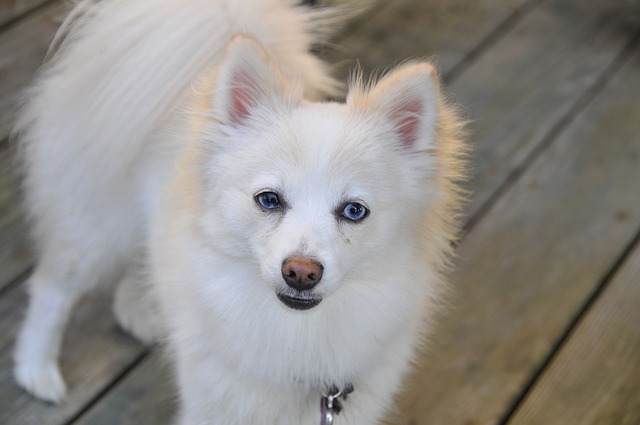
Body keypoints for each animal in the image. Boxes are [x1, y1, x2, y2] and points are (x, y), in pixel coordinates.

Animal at [12, 1, 468, 422]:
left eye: (354, 210)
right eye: (268, 200)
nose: (301, 272)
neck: (297, 337)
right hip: (94, 229)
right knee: (52, 290)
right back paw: (36, 370)